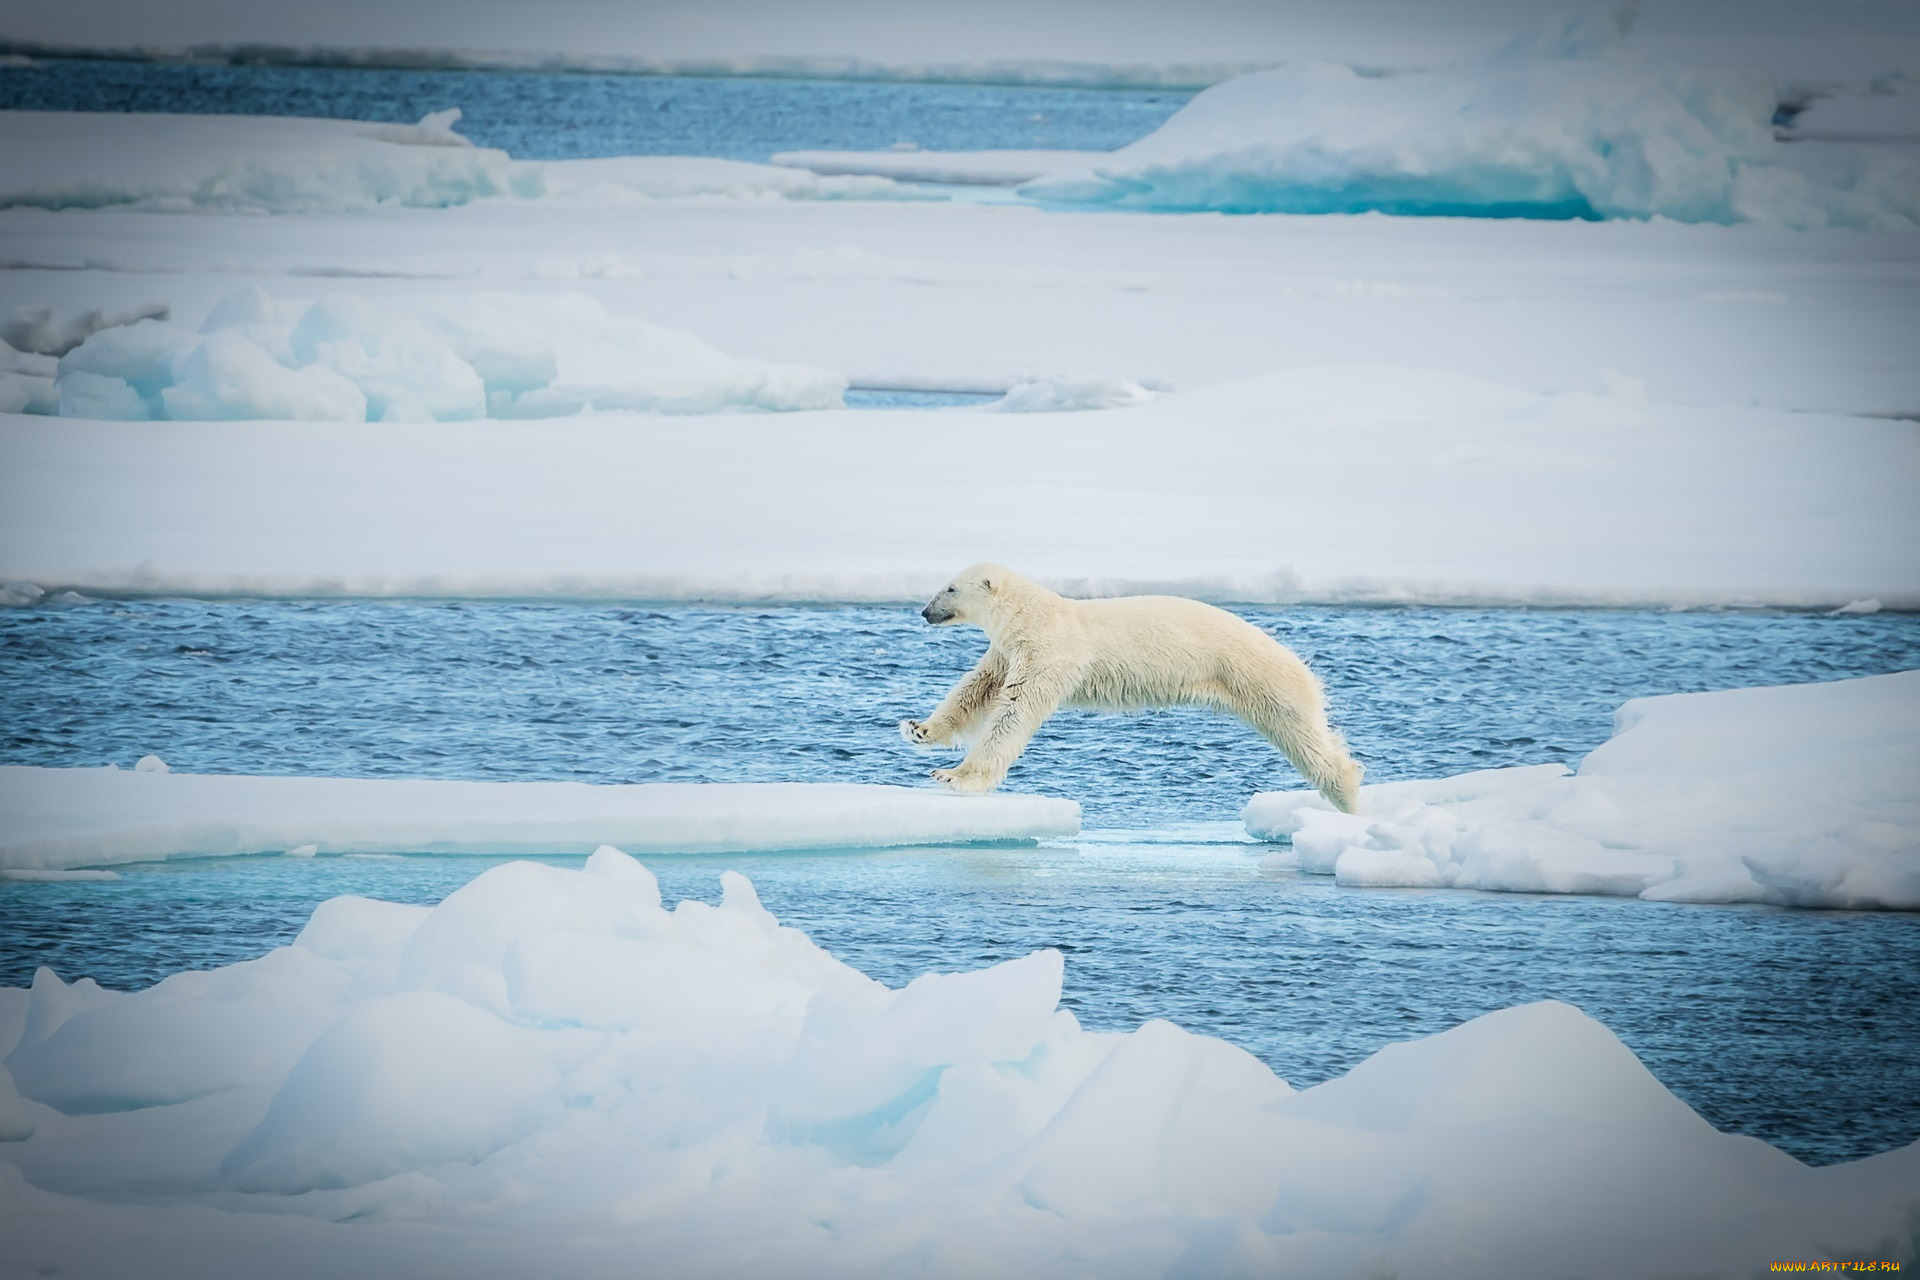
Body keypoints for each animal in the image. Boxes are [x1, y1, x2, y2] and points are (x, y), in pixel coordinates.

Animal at [898, 564, 1367, 809]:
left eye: (950, 587)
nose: (924, 612)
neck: (1033, 616)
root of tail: (1299, 663)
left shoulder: (1049, 652)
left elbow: (1012, 711)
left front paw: (954, 776)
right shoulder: (1007, 652)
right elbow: (978, 689)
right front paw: (918, 729)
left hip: (1258, 677)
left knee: (1303, 735)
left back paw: (1347, 792)